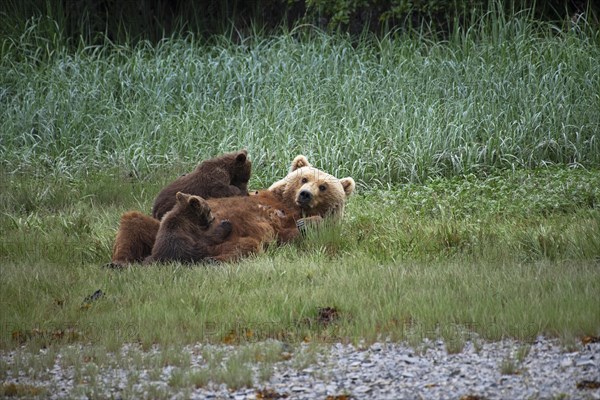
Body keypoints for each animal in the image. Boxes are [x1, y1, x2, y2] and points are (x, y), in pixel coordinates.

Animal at [110, 155, 354, 264]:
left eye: (323, 186)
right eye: (304, 178)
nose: (305, 194)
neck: (287, 205)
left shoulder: (283, 226)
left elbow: (293, 234)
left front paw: (308, 223)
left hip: (227, 242)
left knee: (247, 245)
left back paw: (212, 260)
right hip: (160, 229)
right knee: (133, 220)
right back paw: (118, 262)